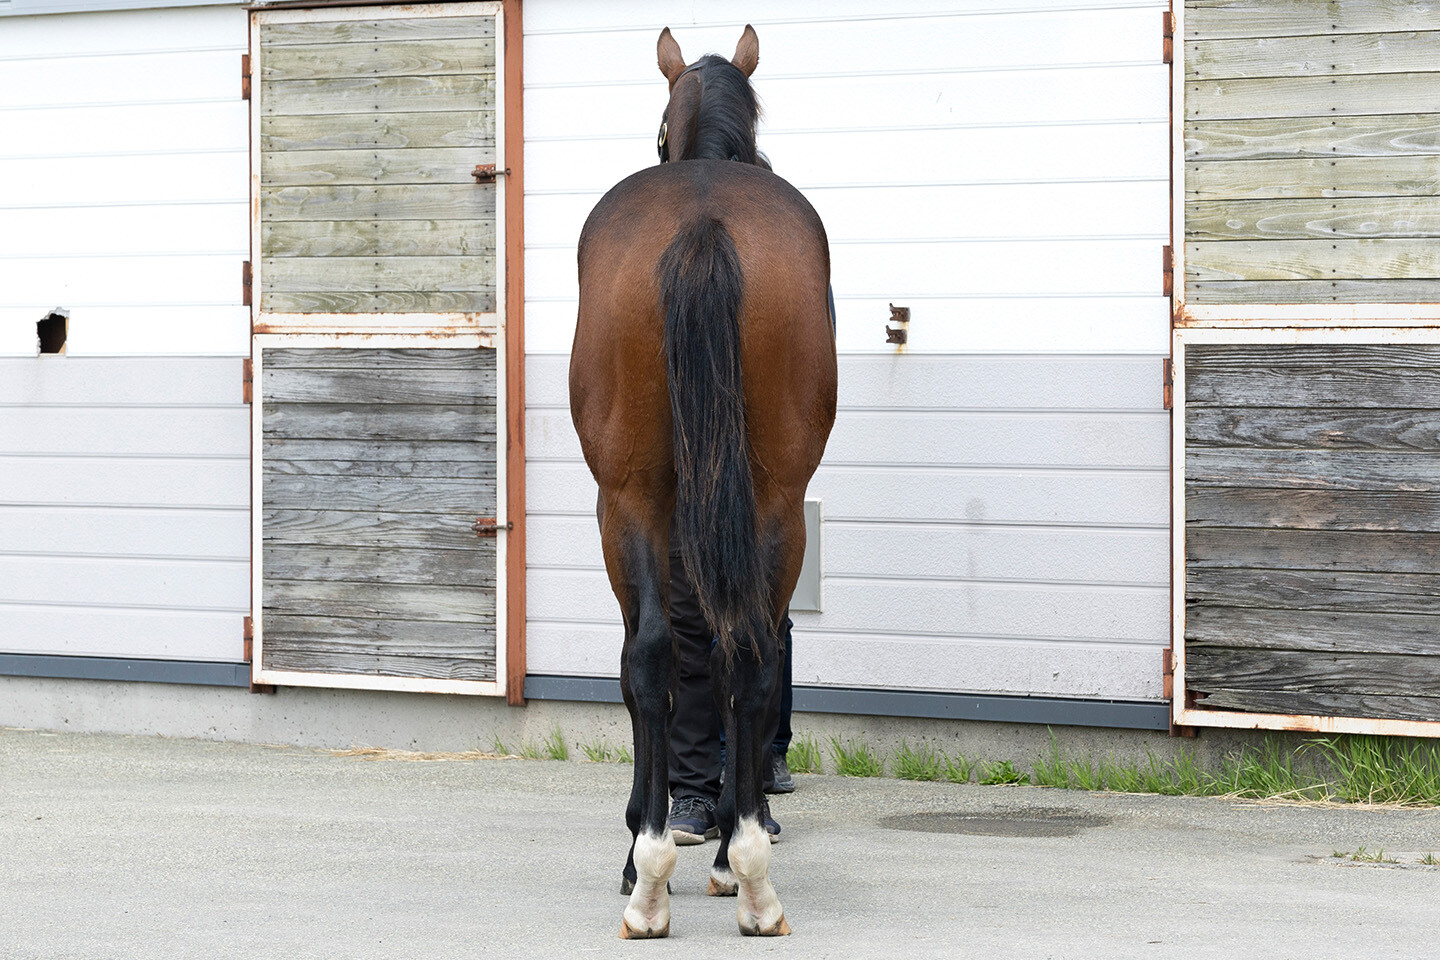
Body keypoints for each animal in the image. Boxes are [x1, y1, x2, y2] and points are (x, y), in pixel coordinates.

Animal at [569, 24, 836, 940]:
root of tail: (702, 222)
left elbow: (640, 666)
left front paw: (637, 845)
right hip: (776, 501)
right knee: (747, 648)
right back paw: (744, 868)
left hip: (630, 499)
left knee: (655, 652)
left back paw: (651, 875)